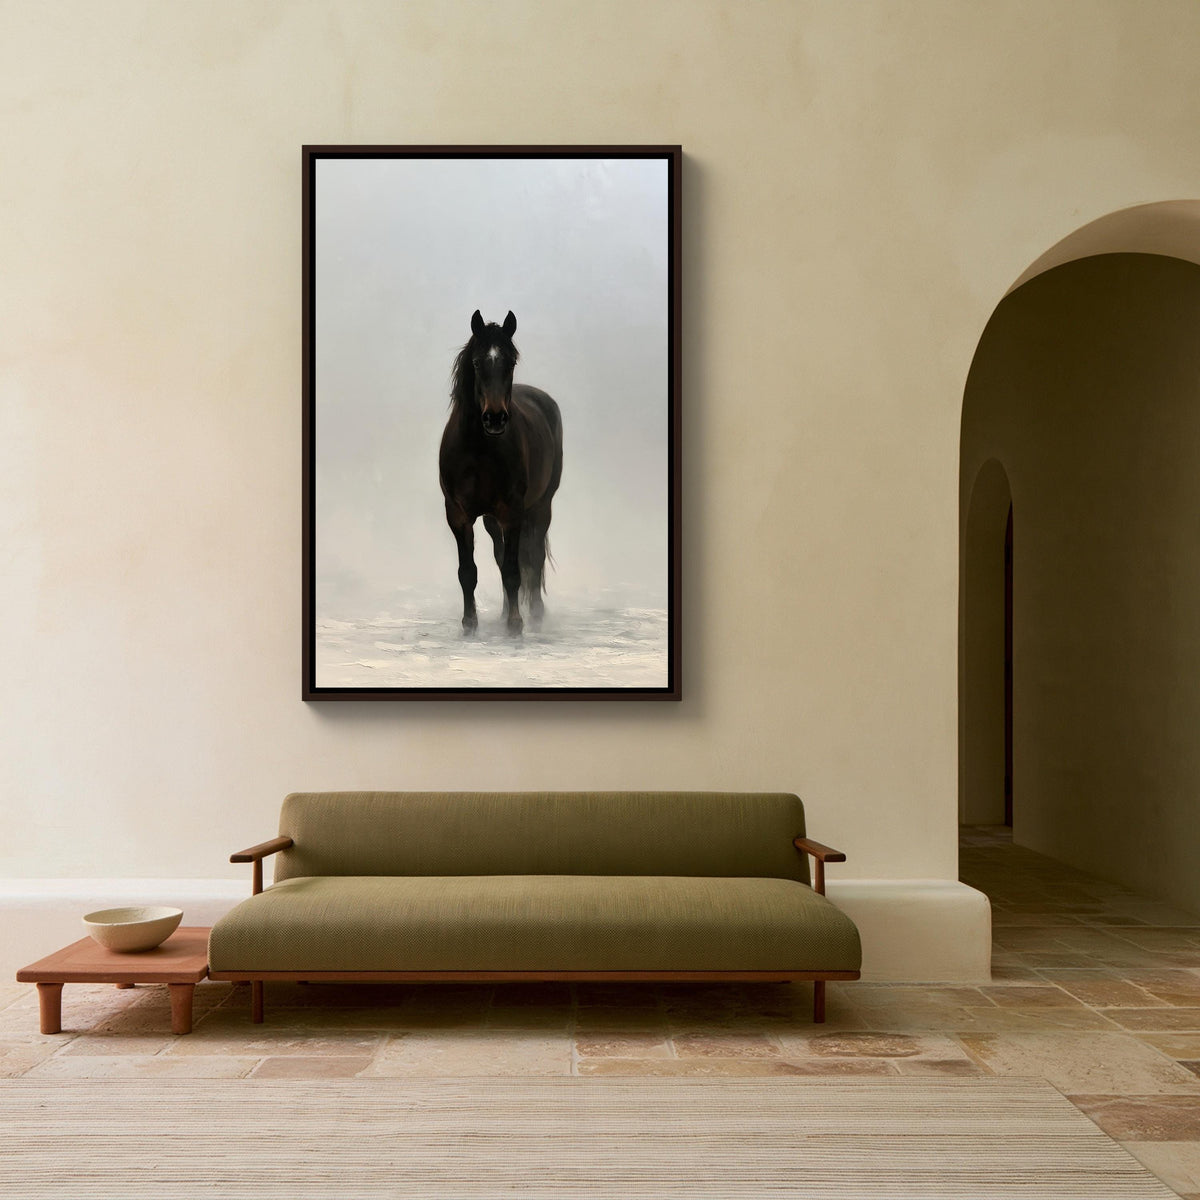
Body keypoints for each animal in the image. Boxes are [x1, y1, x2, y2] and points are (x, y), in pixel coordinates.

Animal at [438, 310, 564, 637]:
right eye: (477, 362)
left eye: (511, 362)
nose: (495, 418)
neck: (478, 450)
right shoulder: (458, 515)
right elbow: (468, 571)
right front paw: (470, 625)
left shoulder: (513, 512)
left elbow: (513, 570)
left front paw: (515, 626)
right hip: (491, 520)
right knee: (501, 554)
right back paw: (507, 610)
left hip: (541, 507)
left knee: (534, 556)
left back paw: (535, 614)